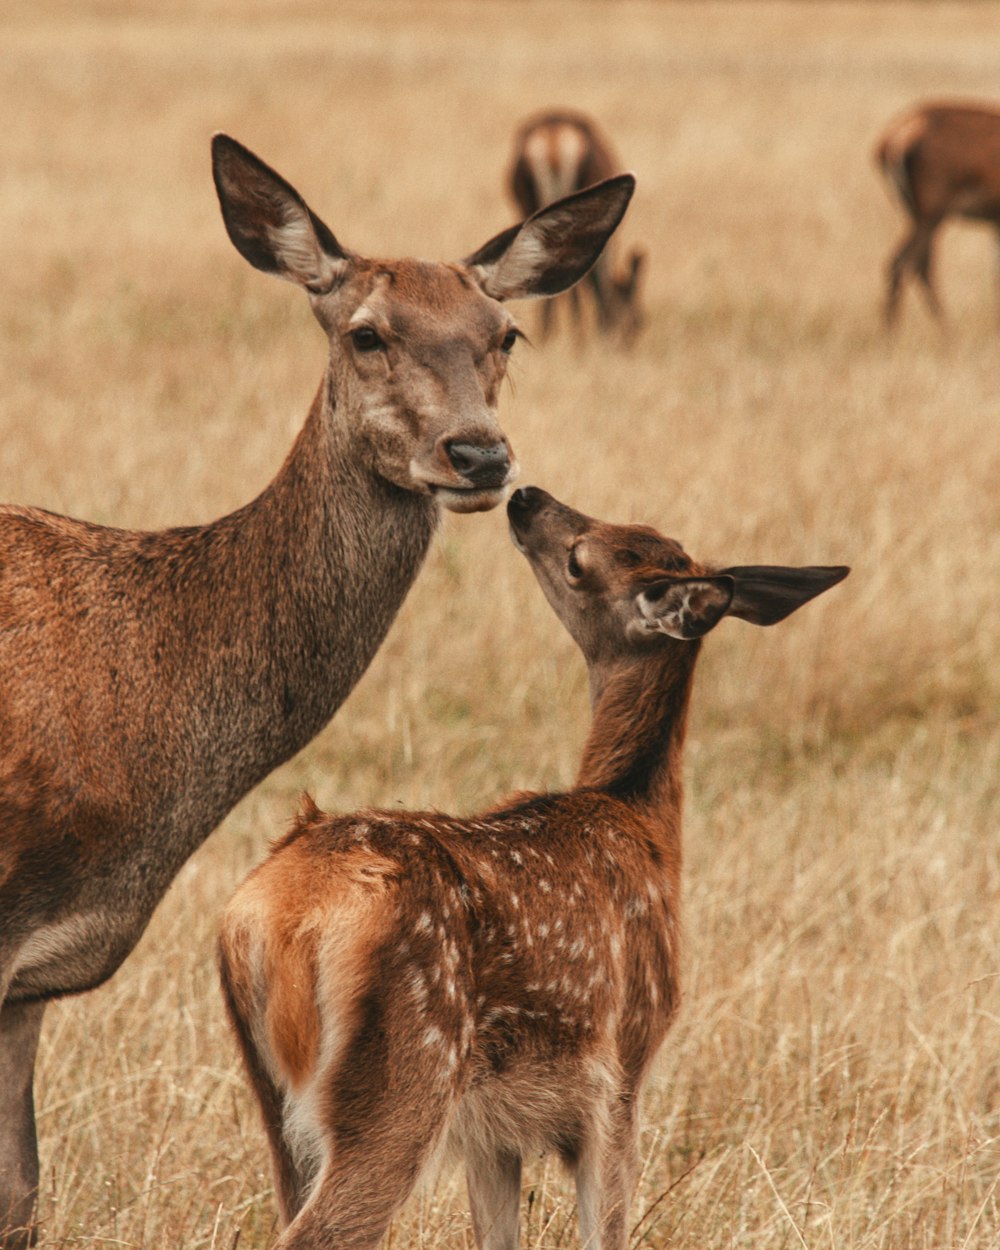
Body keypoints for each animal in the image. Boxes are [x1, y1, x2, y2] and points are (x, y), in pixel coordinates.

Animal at [216, 485, 845, 1250]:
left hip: (279, 1101)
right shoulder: (624, 1069)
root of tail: (275, 918)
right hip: (408, 1066)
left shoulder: (493, 1133)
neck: (644, 824)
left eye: (582, 558)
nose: (525, 494)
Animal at [875, 100, 1000, 325]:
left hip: (919, 216)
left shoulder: (996, 223)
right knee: (903, 264)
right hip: (932, 217)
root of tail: (894, 138)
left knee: (917, 265)